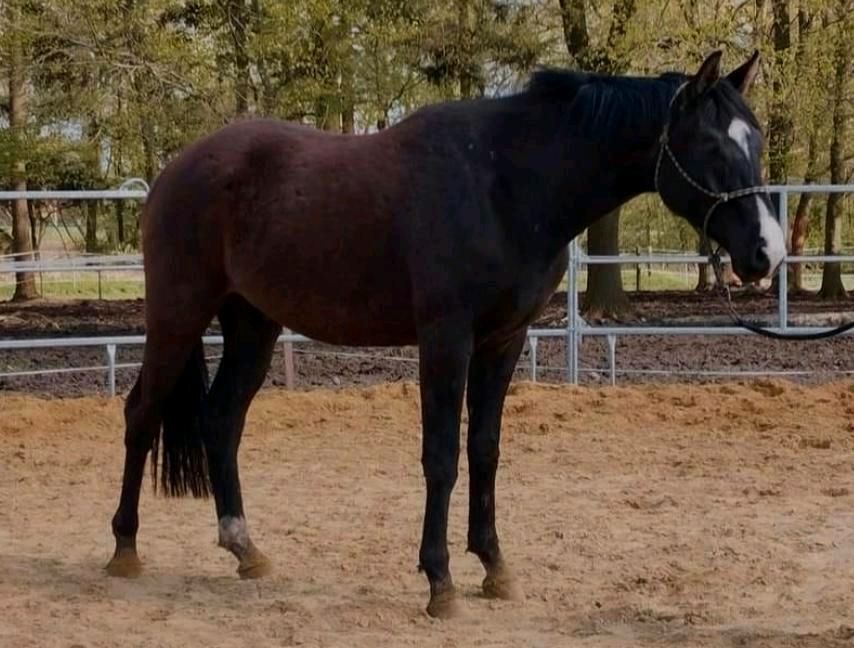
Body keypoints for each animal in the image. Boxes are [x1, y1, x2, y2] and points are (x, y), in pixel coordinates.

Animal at [103, 50, 784, 616]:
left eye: (755, 141)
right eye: (710, 146)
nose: (767, 253)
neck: (505, 185)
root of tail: (176, 170)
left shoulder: (503, 343)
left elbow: (484, 450)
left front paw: (495, 567)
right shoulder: (446, 341)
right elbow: (442, 457)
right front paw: (441, 582)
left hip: (253, 324)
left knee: (221, 420)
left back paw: (246, 549)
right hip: (178, 314)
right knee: (140, 414)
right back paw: (124, 549)